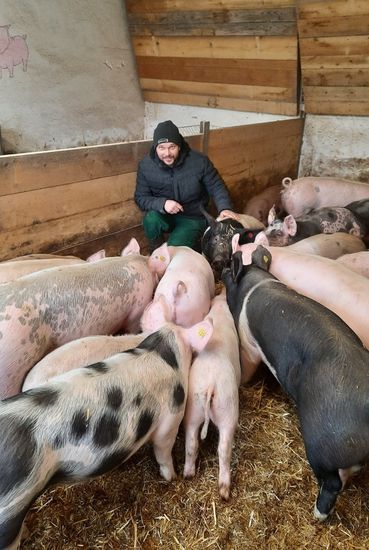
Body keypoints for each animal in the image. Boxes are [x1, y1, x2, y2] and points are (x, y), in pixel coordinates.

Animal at [0, 316, 213, 550]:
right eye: (191, 351)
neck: (160, 353)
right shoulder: (170, 420)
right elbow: (163, 454)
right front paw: (172, 478)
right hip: (12, 509)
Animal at [182, 292, 240, 502]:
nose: (221, 293)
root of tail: (210, 384)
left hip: (192, 408)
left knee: (191, 443)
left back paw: (188, 474)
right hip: (228, 409)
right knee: (223, 449)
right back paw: (224, 492)